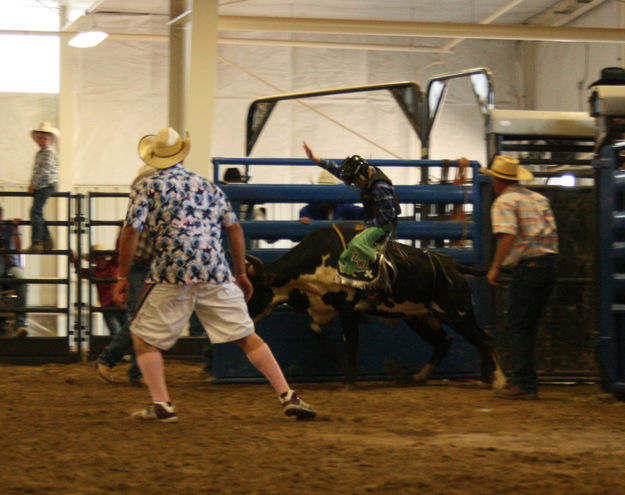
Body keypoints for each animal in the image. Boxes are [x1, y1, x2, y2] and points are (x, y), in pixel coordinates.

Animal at [245, 227, 508, 390]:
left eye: (253, 291)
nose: (245, 317)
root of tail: (454, 266)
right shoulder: (322, 306)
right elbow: (315, 329)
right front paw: (336, 358)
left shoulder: (347, 307)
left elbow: (351, 342)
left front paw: (349, 382)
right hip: (419, 317)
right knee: (443, 342)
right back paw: (418, 376)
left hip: (459, 314)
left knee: (484, 339)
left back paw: (499, 381)